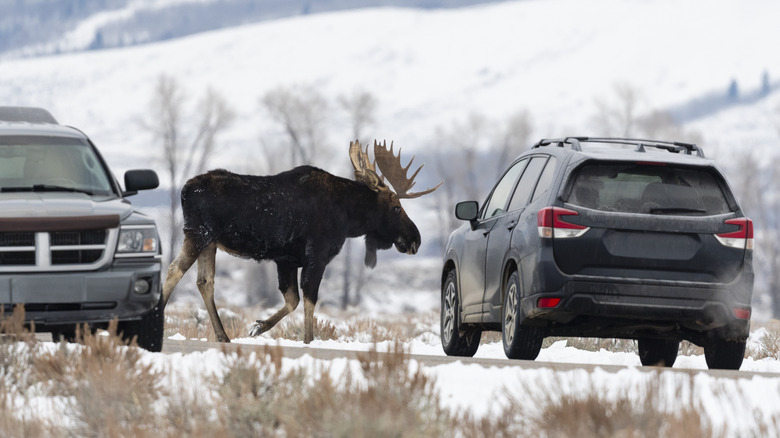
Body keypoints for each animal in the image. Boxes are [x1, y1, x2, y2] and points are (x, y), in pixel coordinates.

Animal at [160, 140, 440, 344]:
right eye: (396, 207)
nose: (415, 239)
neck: (349, 218)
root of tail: (184, 191)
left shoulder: (286, 259)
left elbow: (292, 299)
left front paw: (258, 326)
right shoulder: (316, 255)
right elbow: (309, 298)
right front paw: (308, 340)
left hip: (209, 242)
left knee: (204, 282)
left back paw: (223, 336)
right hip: (198, 234)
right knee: (174, 270)